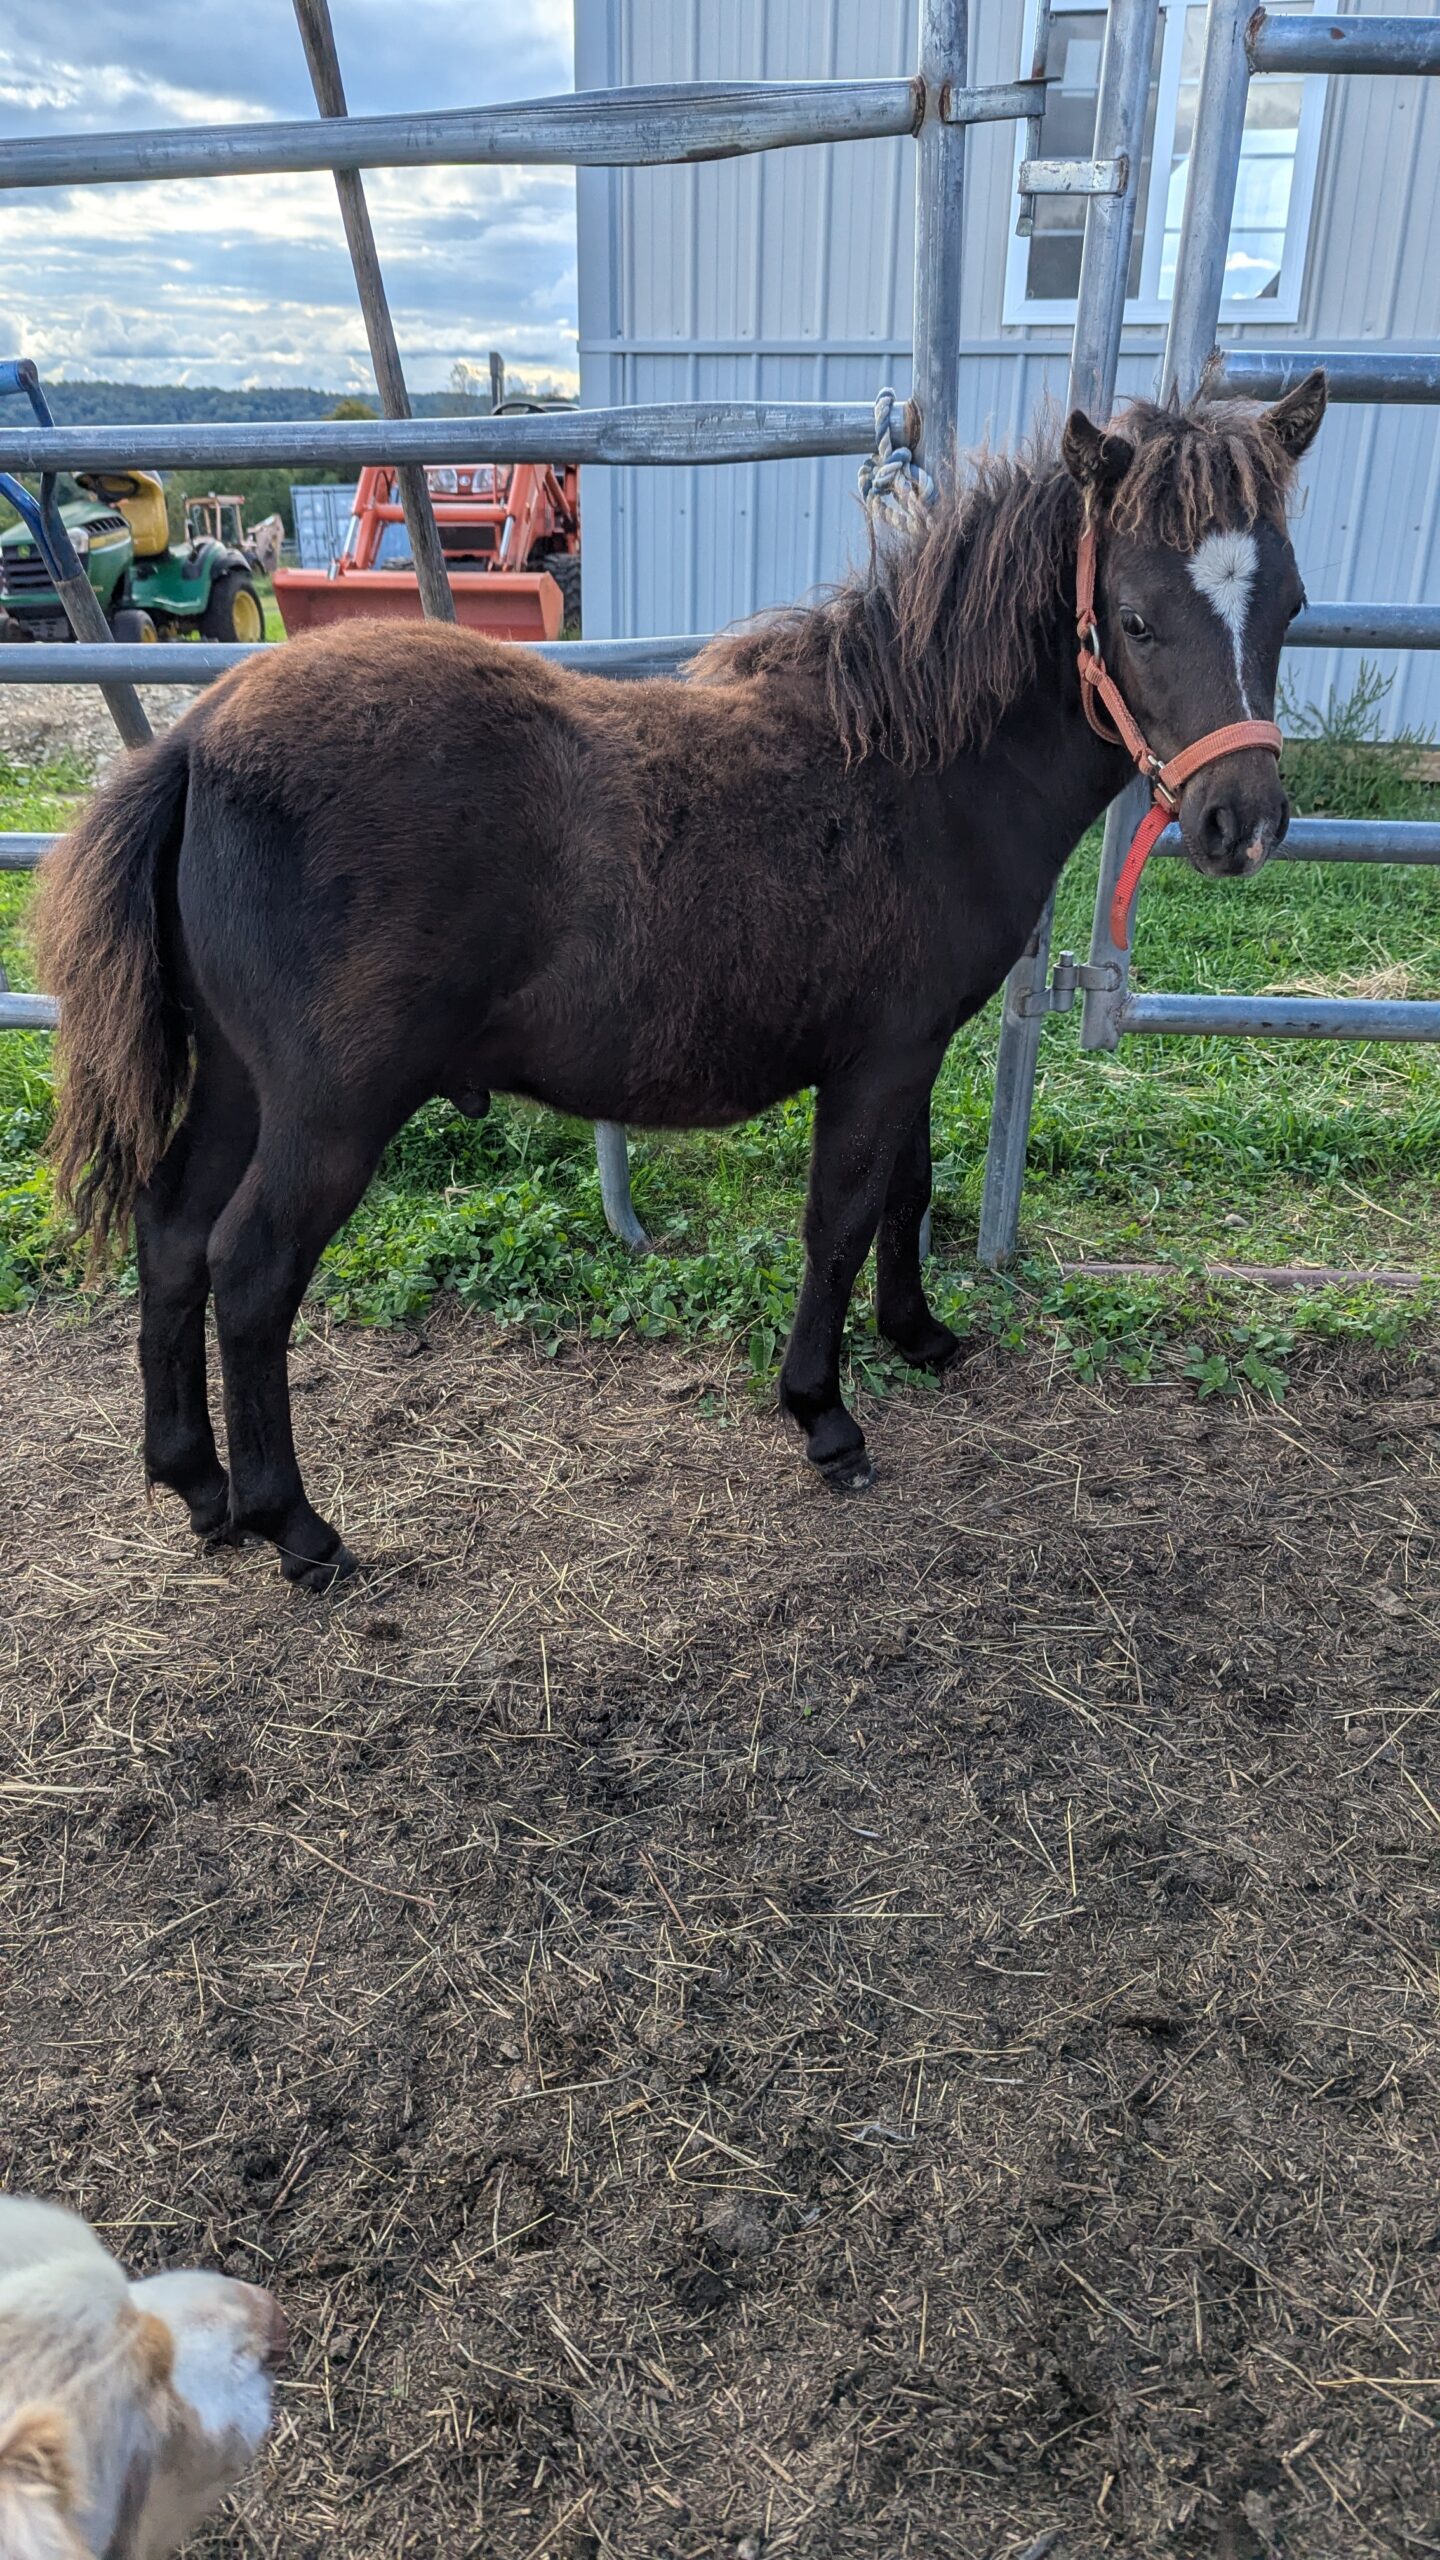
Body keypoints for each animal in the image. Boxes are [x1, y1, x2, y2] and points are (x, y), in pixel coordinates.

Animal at [37, 373, 1326, 1591]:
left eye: (1292, 606)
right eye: (1135, 617)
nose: (1244, 825)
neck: (917, 771)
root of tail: (195, 743)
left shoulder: (911, 1048)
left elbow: (906, 1191)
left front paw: (918, 1334)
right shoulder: (879, 1058)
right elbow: (841, 1216)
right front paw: (824, 1413)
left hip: (238, 1083)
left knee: (170, 1233)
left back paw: (197, 1484)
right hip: (329, 1110)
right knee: (249, 1271)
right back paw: (295, 1527)